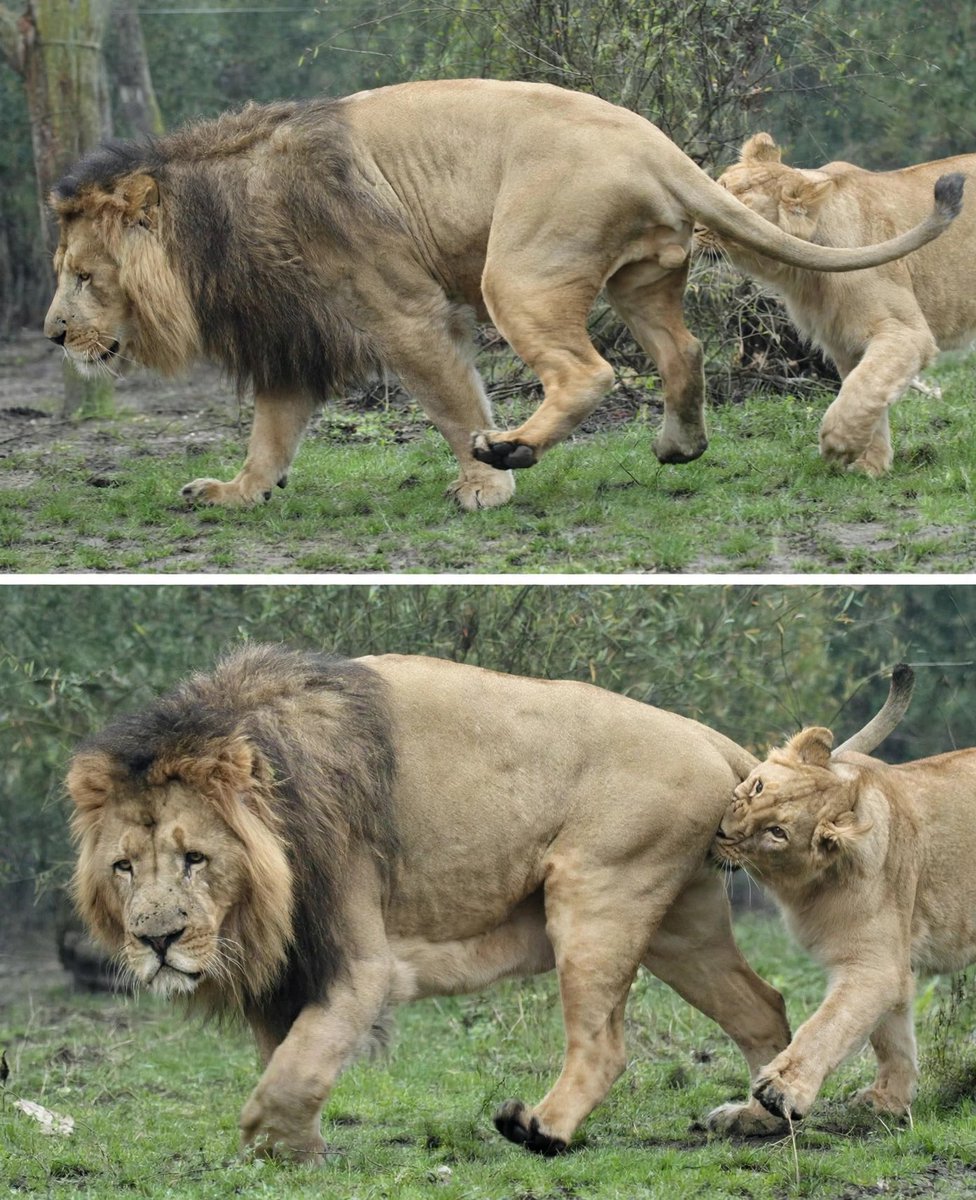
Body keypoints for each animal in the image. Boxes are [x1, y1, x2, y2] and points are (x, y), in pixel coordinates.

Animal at [698, 133, 975, 476]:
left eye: (739, 209)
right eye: (720, 184)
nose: (694, 226)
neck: (802, 271)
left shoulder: (907, 333)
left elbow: (863, 387)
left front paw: (837, 444)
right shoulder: (845, 342)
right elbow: (867, 390)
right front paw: (870, 466)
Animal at [711, 664, 976, 1132]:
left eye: (777, 833)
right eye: (758, 786)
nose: (723, 831)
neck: (805, 888)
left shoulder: (874, 964)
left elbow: (828, 1026)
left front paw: (778, 1092)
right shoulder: (892, 966)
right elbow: (891, 1037)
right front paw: (888, 1102)